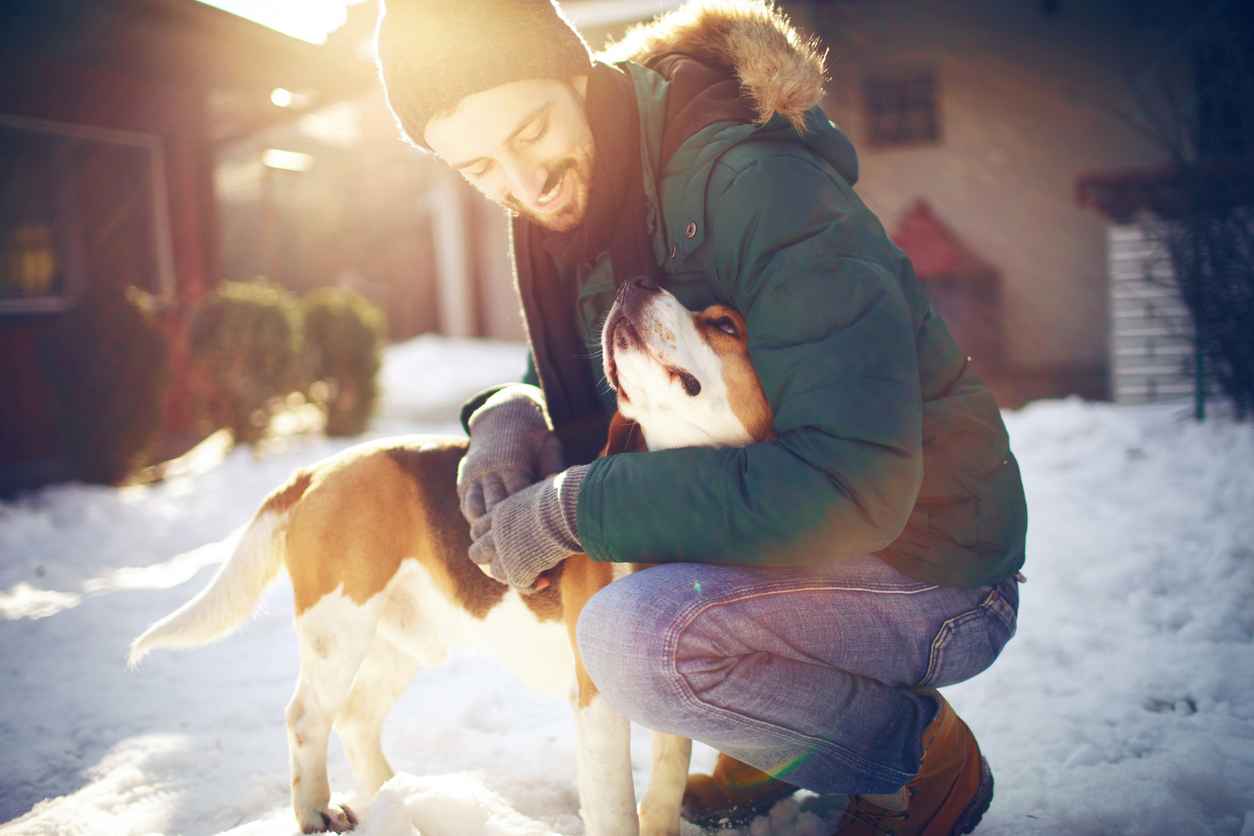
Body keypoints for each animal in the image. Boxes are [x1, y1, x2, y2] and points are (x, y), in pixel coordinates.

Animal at [129, 283, 772, 836]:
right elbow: (616, 809)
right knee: (306, 717)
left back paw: (400, 798)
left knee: (356, 717)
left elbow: (664, 785)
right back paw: (316, 811)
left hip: (398, 643)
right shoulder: (598, 703)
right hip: (338, 628)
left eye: (724, 324)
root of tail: (322, 469)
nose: (634, 285)